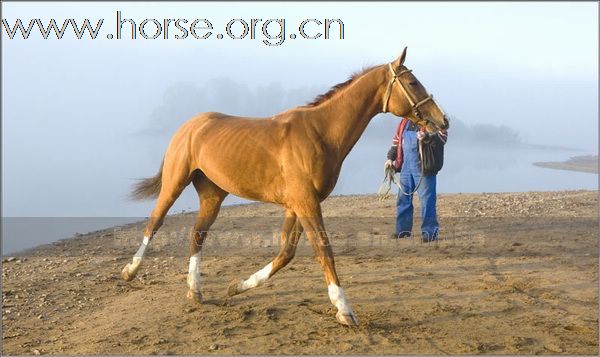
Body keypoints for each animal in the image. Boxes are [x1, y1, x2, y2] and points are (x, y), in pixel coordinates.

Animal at [122, 48, 448, 326]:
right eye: (412, 82)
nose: (442, 120)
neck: (319, 133)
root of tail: (190, 124)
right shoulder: (306, 203)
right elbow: (323, 249)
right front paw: (344, 310)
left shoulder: (298, 205)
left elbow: (286, 253)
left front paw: (238, 286)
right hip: (175, 183)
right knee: (154, 223)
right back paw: (130, 271)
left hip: (213, 194)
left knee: (198, 234)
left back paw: (195, 290)